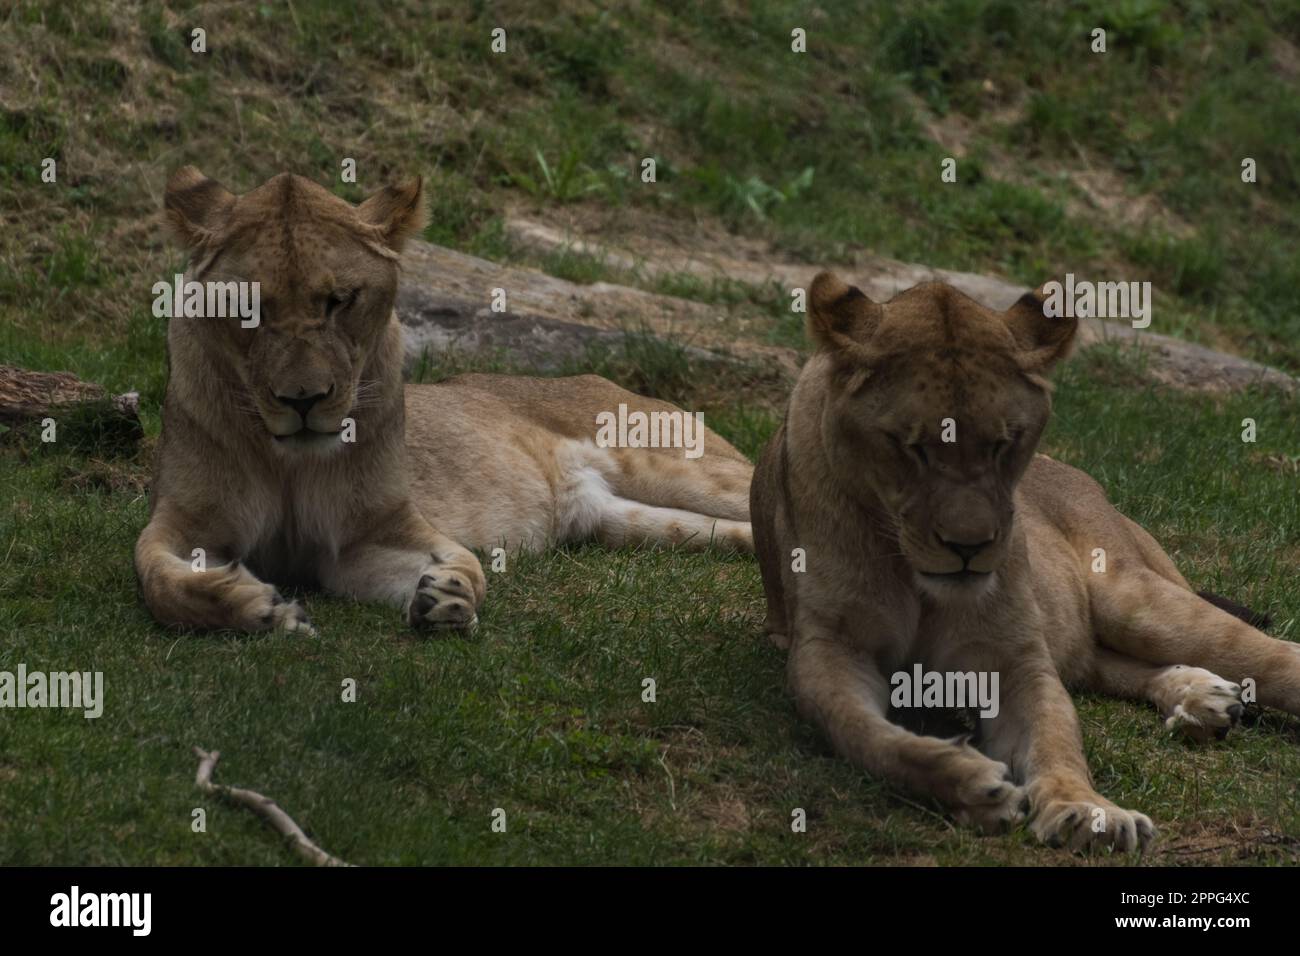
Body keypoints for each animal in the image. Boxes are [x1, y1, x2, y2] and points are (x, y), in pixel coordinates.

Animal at [134, 168, 752, 635]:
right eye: (247, 308)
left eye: (340, 300)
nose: (304, 399)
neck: (289, 464)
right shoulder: (186, 521)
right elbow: (155, 575)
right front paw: (257, 607)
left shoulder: (375, 532)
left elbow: (465, 561)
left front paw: (452, 594)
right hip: (624, 520)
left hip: (676, 467)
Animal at [750, 271, 1299, 852]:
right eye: (912, 447)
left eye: (1003, 444)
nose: (969, 546)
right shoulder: (830, 649)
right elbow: (863, 734)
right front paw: (967, 782)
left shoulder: (1014, 658)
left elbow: (1056, 740)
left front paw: (1088, 811)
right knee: (1116, 664)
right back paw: (1205, 699)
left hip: (1132, 600)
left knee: (1272, 654)